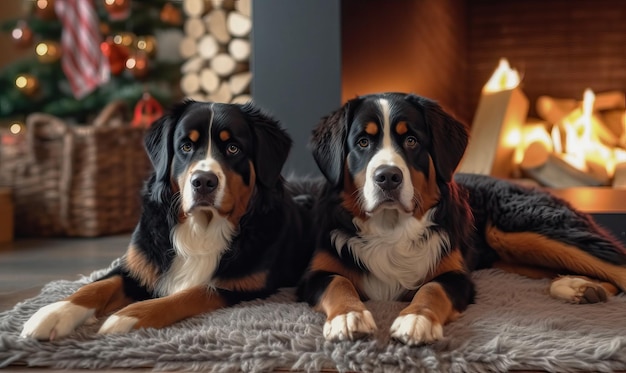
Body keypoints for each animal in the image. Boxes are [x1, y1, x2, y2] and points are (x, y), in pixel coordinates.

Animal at [22, 99, 314, 340]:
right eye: (186, 146)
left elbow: (188, 294)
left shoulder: (240, 287)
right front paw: (54, 313)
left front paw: (129, 315)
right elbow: (97, 286)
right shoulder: (137, 266)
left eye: (233, 148)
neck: (202, 228)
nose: (203, 181)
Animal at [294, 92, 624, 346]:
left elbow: (431, 289)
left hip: (528, 227)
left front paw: (416, 320)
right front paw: (349, 317)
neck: (391, 228)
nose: (387, 177)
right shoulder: (316, 272)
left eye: (411, 140)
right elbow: (338, 283)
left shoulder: (455, 273)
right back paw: (579, 287)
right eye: (363, 142)